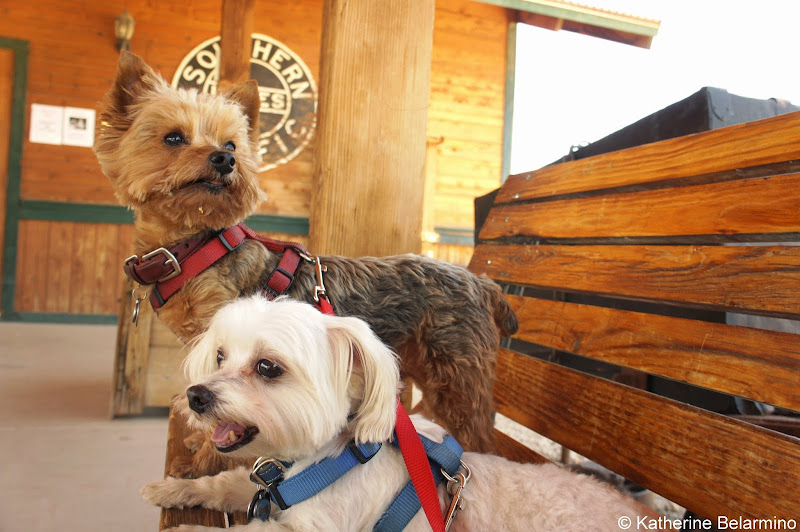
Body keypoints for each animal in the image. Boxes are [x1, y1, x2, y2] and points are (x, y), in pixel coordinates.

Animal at [141, 298, 648, 528]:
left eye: (268, 367)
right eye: (220, 356)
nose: (196, 395)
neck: (326, 460)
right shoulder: (265, 488)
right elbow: (223, 483)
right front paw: (174, 489)